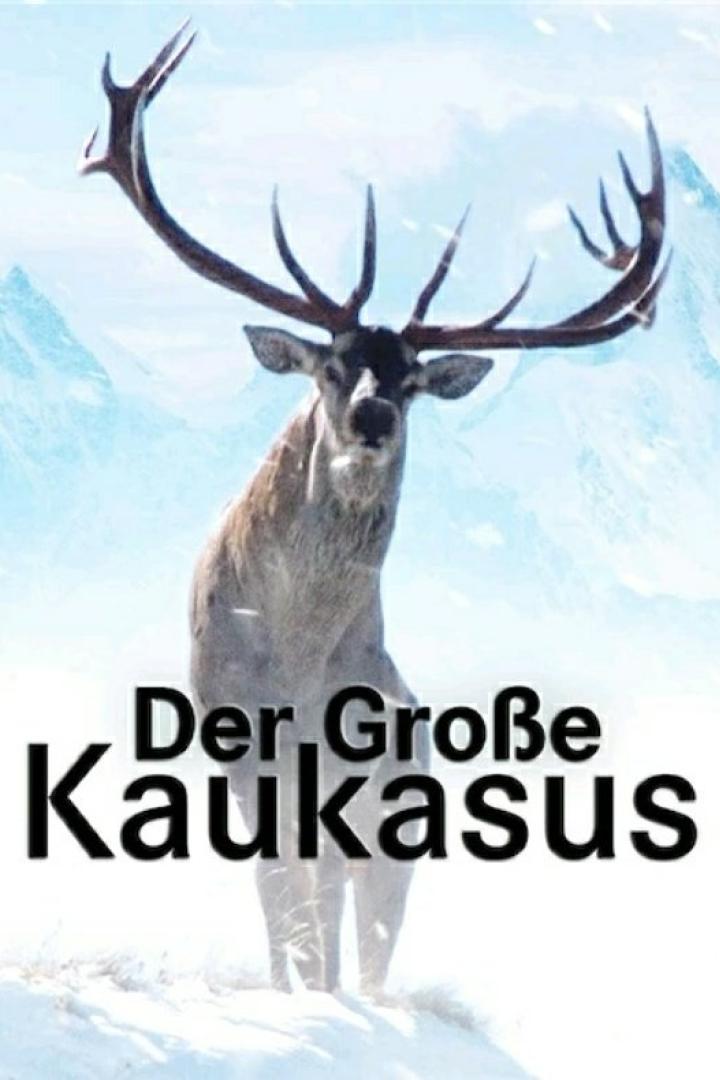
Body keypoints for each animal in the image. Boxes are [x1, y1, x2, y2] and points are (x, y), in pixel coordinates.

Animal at [80, 23, 668, 996]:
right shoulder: (238, 752)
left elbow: (321, 919)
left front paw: (318, 995)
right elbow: (279, 901)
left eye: (414, 380)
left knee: (369, 930)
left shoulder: (355, 784)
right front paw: (291, 992)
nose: (373, 415)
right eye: (331, 365)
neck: (297, 668)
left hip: (401, 814)